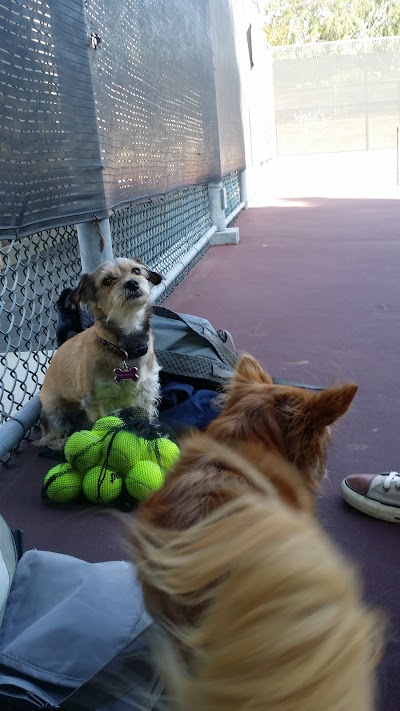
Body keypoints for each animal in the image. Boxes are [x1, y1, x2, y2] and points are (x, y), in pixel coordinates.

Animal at [38, 258, 161, 450]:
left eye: (136, 271)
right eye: (108, 280)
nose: (132, 283)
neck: (125, 351)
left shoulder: (146, 393)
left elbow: (146, 419)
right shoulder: (97, 403)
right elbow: (103, 427)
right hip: (54, 414)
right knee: (49, 438)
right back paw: (61, 442)